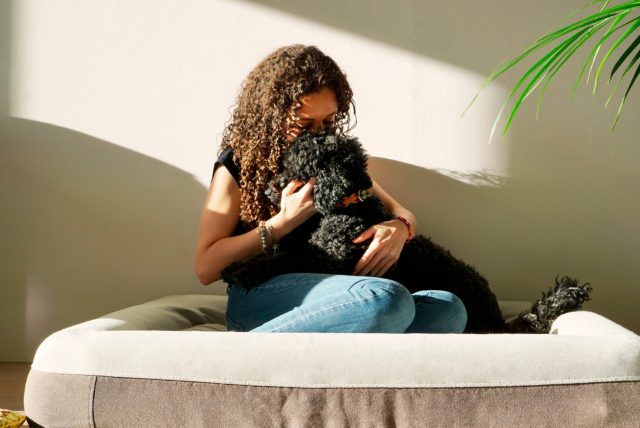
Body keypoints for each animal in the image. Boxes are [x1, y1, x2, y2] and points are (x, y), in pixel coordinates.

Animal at [222, 132, 592, 332]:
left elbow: (282, 259)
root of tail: (499, 321)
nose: (268, 188)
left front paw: (240, 270)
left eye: (293, 164)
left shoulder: (324, 258)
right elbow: (280, 251)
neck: (346, 205)